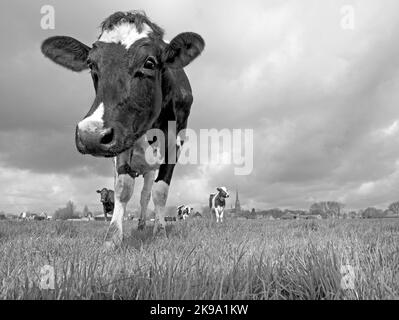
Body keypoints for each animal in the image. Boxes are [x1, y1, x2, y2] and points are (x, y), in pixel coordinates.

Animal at [41, 10, 206, 249]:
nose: (90, 135)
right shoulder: (121, 141)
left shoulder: (175, 143)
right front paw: (113, 238)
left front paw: (160, 233)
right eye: (91, 64)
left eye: (150, 62)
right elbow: (122, 188)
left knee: (146, 194)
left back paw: (146, 225)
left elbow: (160, 192)